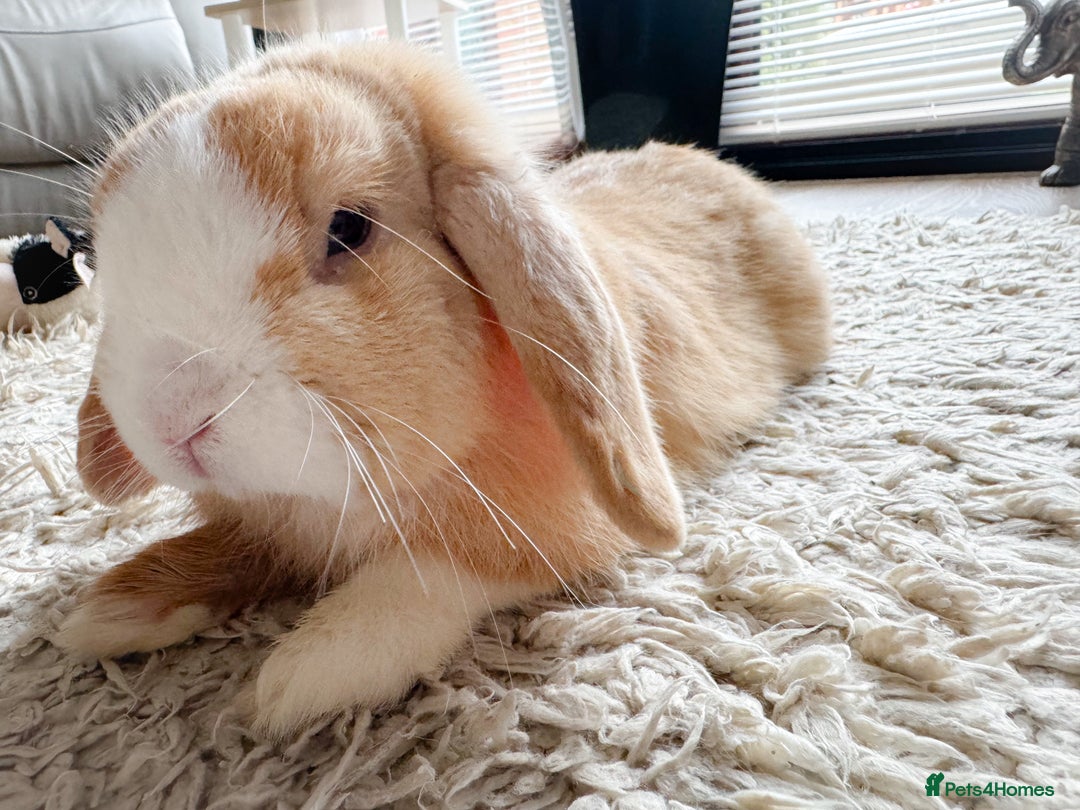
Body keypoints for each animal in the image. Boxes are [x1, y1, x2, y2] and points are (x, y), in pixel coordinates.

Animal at [56, 41, 831, 737]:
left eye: (350, 228)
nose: (172, 420)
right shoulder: (275, 521)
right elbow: (244, 547)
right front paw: (114, 609)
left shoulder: (539, 529)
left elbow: (428, 574)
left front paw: (304, 673)